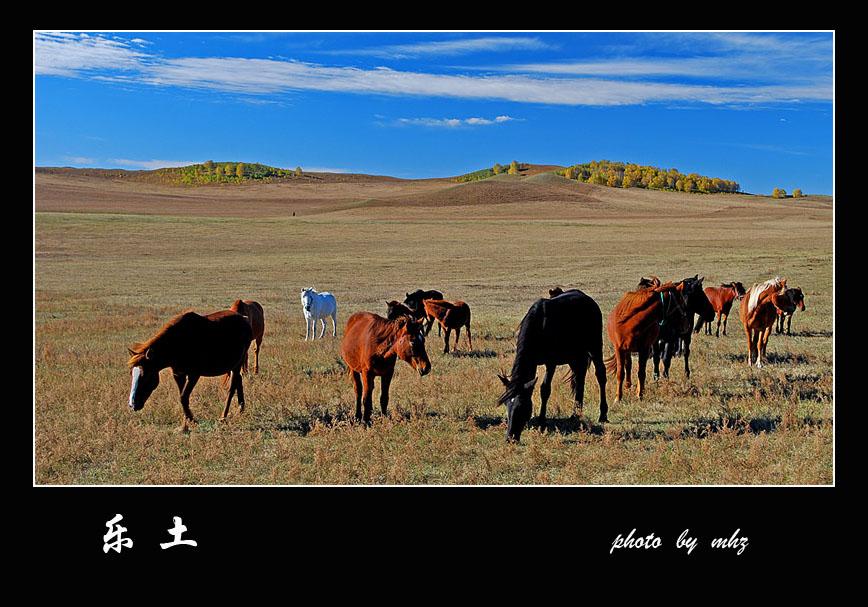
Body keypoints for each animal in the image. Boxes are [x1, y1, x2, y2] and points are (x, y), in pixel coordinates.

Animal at [125, 312, 254, 430]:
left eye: (145, 375)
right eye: (131, 374)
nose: (132, 405)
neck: (178, 343)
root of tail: (244, 319)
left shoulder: (193, 375)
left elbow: (183, 397)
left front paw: (193, 421)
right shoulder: (178, 375)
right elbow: (183, 397)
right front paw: (187, 421)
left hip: (237, 365)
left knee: (232, 389)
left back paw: (223, 417)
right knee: (239, 381)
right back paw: (240, 408)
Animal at [496, 288, 612, 442]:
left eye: (523, 406)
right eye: (507, 404)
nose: (510, 438)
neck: (539, 325)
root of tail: (589, 300)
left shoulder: (551, 363)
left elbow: (545, 389)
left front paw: (541, 421)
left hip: (594, 347)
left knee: (600, 375)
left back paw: (603, 414)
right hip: (575, 356)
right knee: (579, 379)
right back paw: (575, 414)